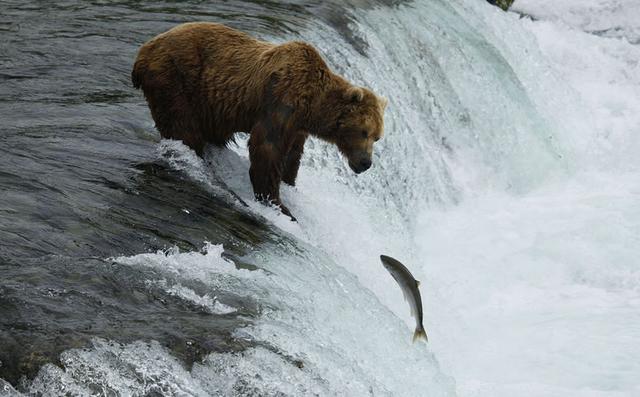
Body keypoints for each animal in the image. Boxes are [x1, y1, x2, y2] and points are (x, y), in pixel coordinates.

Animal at [131, 21, 384, 218]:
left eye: (377, 137)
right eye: (364, 131)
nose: (365, 162)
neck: (313, 105)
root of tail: (144, 49)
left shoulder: (297, 125)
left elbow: (292, 155)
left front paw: (288, 184)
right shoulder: (282, 101)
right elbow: (267, 147)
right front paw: (279, 205)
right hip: (175, 78)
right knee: (183, 127)